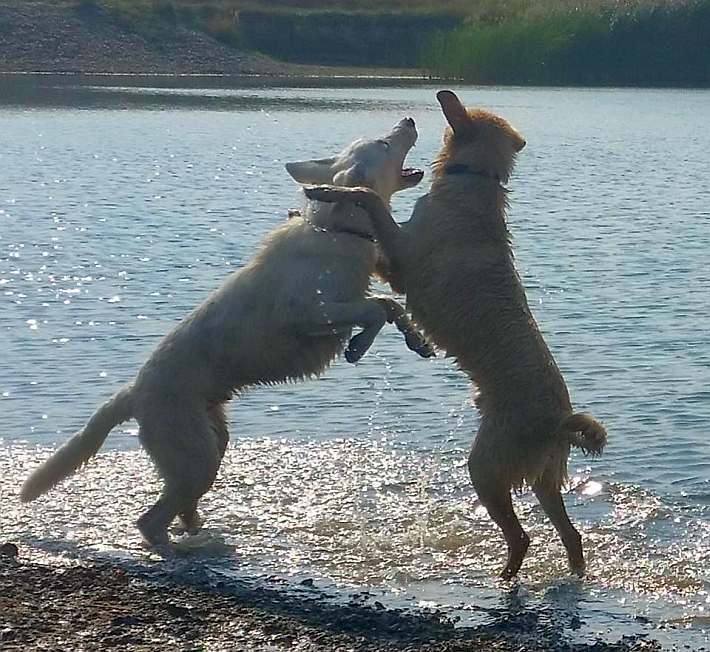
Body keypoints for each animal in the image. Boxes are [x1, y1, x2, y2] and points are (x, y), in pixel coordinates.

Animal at [22, 119, 432, 548]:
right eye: (385, 143)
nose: (410, 121)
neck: (336, 228)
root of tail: (134, 393)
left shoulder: (337, 308)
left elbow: (389, 305)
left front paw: (413, 341)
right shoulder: (308, 313)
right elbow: (375, 309)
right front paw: (359, 346)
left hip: (211, 446)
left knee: (177, 508)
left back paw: (196, 532)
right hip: (196, 457)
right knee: (149, 522)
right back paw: (186, 547)